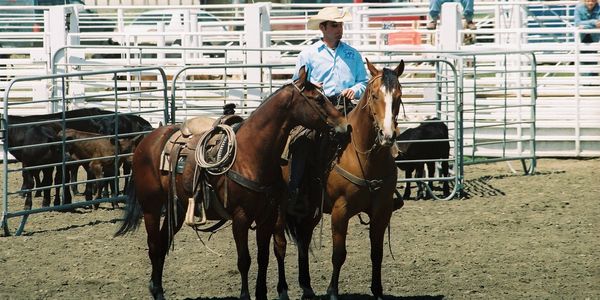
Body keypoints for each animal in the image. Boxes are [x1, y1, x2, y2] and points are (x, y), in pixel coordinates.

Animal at [114, 66, 350, 300]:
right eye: (318, 99)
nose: (345, 126)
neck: (251, 154)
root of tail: (146, 140)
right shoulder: (241, 217)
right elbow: (244, 260)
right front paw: (245, 295)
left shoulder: (267, 216)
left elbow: (263, 257)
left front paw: (261, 294)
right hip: (151, 207)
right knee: (154, 246)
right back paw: (156, 291)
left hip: (178, 209)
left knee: (162, 244)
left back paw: (158, 290)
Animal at [274, 59, 406, 300]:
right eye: (374, 96)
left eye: (399, 96)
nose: (387, 136)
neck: (363, 156)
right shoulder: (340, 210)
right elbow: (339, 254)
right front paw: (333, 292)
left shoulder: (382, 210)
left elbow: (377, 253)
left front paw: (378, 291)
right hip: (280, 209)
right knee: (280, 244)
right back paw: (283, 290)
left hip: (311, 210)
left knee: (304, 239)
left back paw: (307, 288)